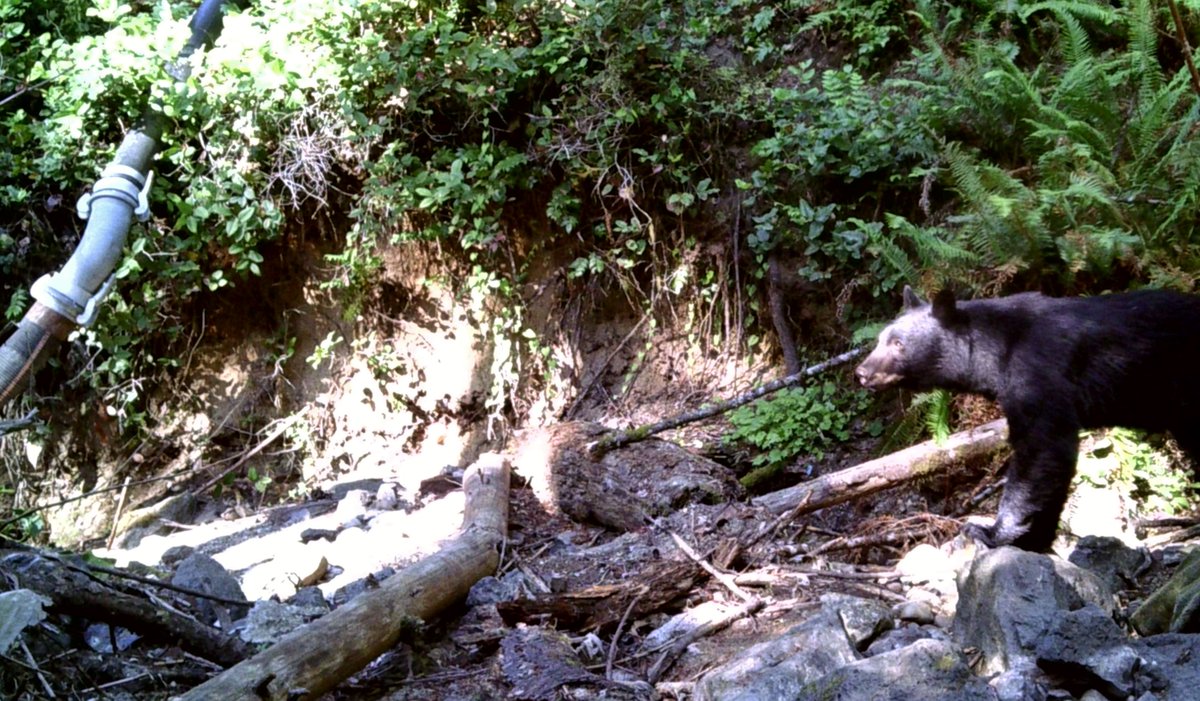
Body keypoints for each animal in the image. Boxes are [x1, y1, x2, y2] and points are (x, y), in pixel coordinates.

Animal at [855, 285, 1200, 551]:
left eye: (899, 343)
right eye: (880, 339)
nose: (861, 372)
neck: (996, 350)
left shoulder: (1036, 372)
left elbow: (1042, 448)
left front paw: (993, 532)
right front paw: (1037, 540)